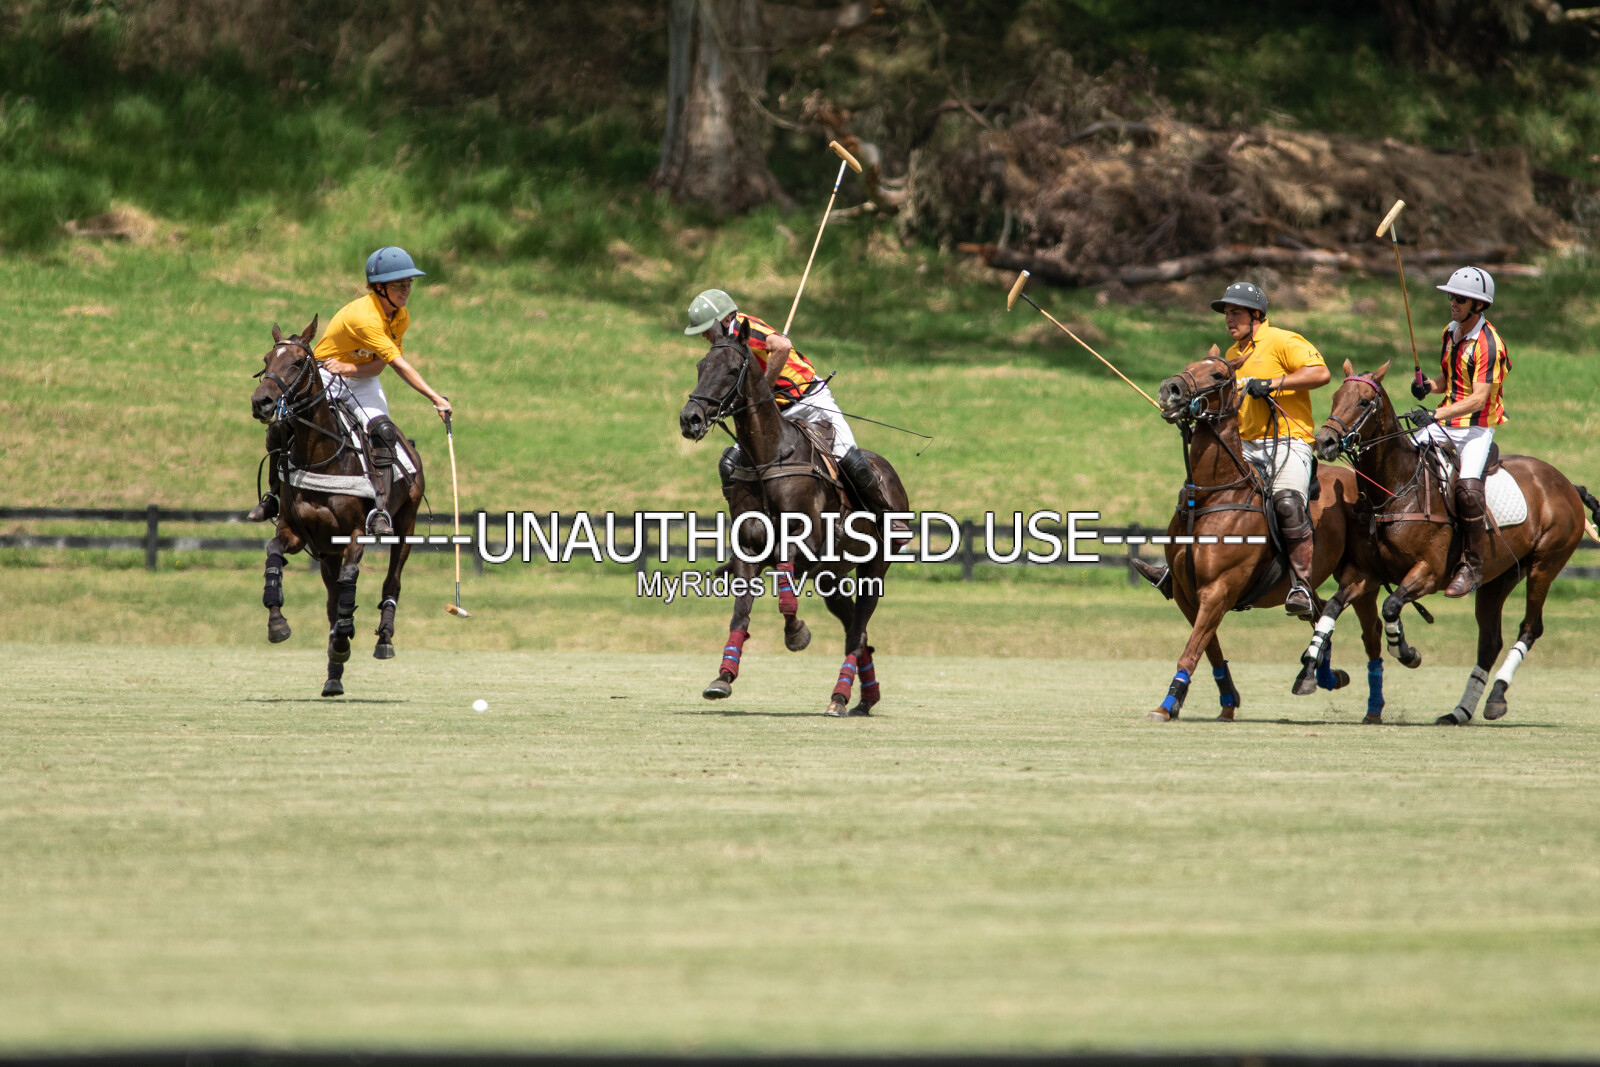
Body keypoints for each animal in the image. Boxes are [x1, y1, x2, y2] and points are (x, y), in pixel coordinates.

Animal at [249, 317, 425, 697]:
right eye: (267, 359)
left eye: (298, 363)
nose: (262, 402)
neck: (321, 456)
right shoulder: (298, 533)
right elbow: (274, 554)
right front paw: (277, 623)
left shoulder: (356, 533)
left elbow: (351, 579)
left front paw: (345, 638)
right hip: (327, 552)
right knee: (332, 601)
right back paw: (333, 675)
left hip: (406, 524)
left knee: (391, 581)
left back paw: (382, 640)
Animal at [678, 316, 910, 716]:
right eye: (700, 367)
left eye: (731, 369)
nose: (690, 419)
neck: (768, 456)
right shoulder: (749, 551)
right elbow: (741, 612)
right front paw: (722, 678)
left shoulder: (806, 545)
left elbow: (786, 588)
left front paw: (796, 633)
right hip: (832, 578)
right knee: (858, 629)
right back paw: (866, 698)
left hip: (874, 567)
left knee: (857, 630)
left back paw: (840, 697)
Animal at [1145, 348, 1390, 723]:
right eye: (1189, 367)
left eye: (1217, 375)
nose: (1169, 389)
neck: (1212, 495)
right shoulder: (1188, 593)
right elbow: (1208, 649)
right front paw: (1226, 701)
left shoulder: (1219, 590)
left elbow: (1192, 649)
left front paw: (1166, 704)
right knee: (1318, 610)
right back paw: (1319, 675)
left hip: (1364, 576)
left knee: (1368, 631)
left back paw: (1369, 704)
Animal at [1310, 359, 1600, 724]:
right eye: (1336, 396)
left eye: (1364, 401)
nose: (1325, 441)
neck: (1395, 490)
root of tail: (1567, 484)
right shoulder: (1364, 573)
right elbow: (1333, 607)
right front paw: (1313, 663)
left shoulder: (1429, 572)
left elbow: (1391, 606)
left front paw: (1407, 652)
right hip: (1499, 576)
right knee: (1489, 641)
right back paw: (1460, 711)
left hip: (1545, 564)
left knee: (1530, 628)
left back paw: (1496, 698)